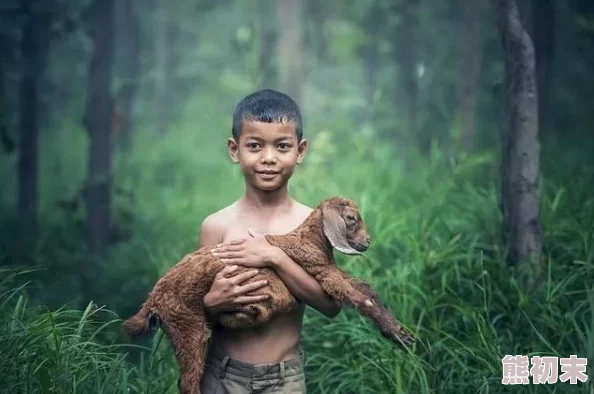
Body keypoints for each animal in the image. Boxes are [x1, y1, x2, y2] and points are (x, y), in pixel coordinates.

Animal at [122, 197, 414, 394]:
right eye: (351, 218)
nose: (367, 242)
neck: (310, 241)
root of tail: (152, 301)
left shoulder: (330, 271)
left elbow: (366, 289)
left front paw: (400, 334)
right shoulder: (322, 273)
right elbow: (362, 299)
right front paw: (399, 334)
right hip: (187, 326)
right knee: (188, 380)